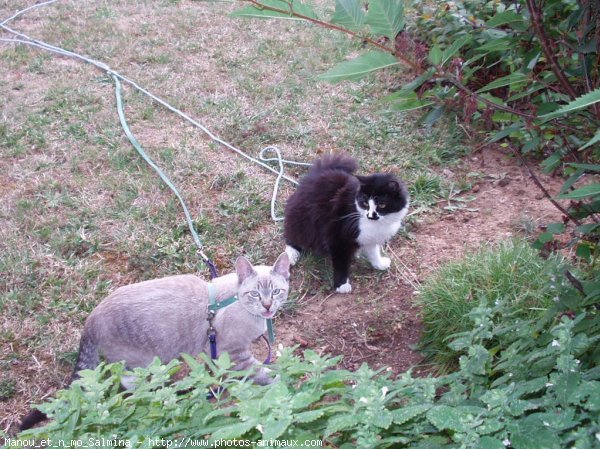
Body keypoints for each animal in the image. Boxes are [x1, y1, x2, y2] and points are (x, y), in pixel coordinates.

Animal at [19, 252, 290, 430]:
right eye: (255, 294)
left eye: (276, 292)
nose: (268, 306)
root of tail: (90, 319)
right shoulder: (234, 353)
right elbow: (264, 373)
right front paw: (285, 382)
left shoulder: (212, 352)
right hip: (145, 362)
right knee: (132, 384)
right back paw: (166, 393)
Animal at [284, 153, 408, 294]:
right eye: (365, 203)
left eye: (381, 205)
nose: (370, 215)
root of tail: (316, 174)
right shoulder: (337, 237)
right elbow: (341, 264)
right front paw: (341, 285)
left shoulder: (370, 237)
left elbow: (373, 252)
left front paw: (379, 264)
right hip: (303, 220)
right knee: (293, 235)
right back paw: (291, 254)